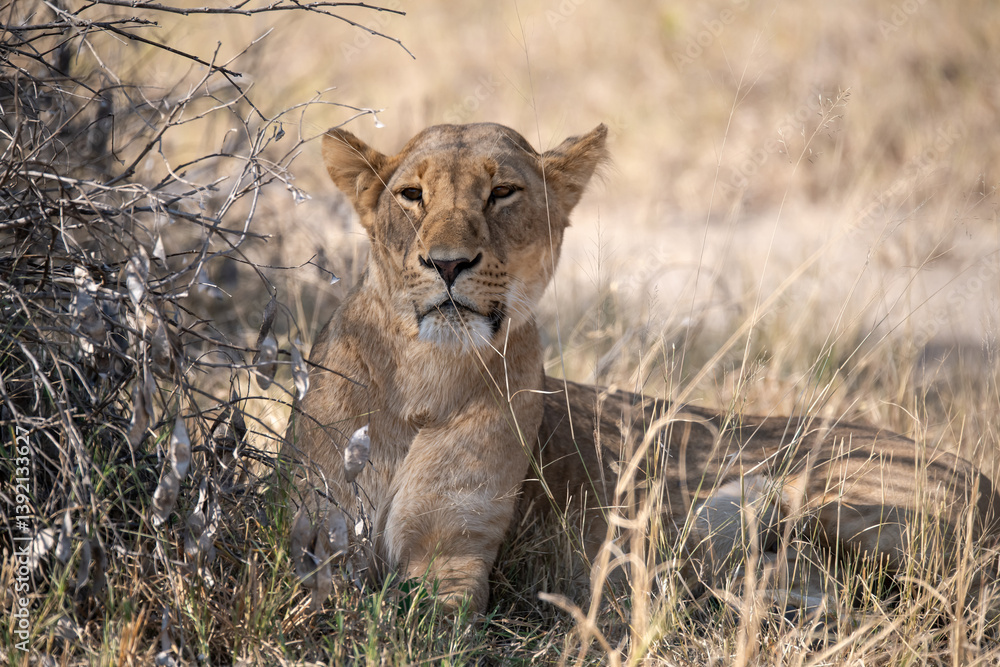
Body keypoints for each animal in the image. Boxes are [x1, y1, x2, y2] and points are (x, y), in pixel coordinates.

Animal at [287, 121, 1000, 614]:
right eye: (412, 195)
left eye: (502, 192)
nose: (448, 263)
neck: (427, 376)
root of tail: (987, 482)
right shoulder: (317, 537)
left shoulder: (454, 552)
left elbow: (419, 619)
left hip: (812, 492)